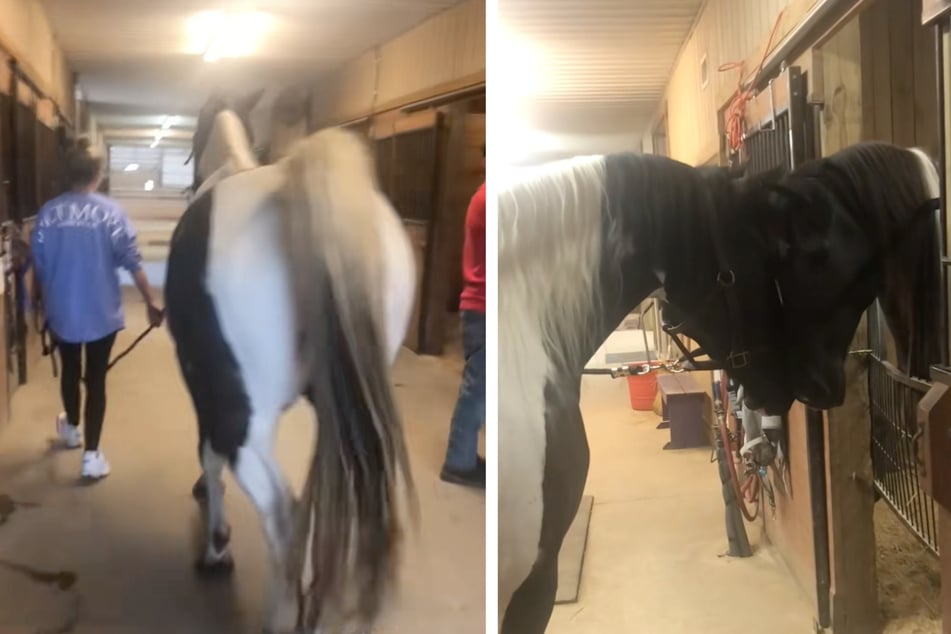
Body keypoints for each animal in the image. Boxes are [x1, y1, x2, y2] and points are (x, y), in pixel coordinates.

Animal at [165, 92, 418, 633]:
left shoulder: (210, 398)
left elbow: (208, 456)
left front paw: (216, 547)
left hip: (248, 424)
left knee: (282, 513)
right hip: (340, 418)